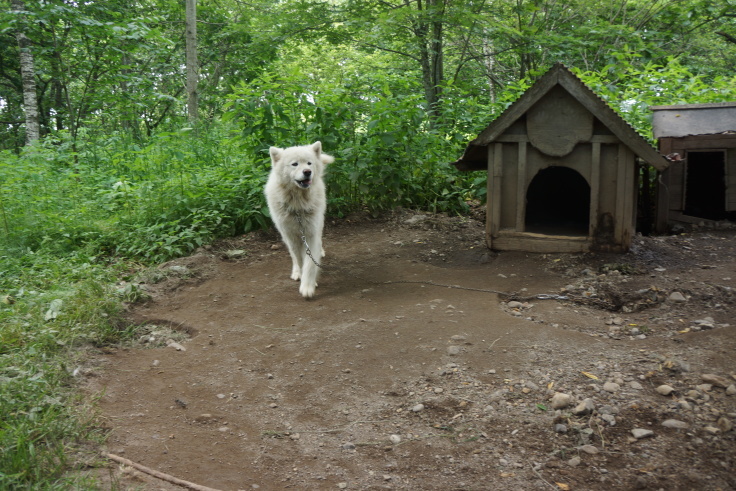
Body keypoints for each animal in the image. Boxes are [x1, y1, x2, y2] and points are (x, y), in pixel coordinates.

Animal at [264, 140, 334, 298]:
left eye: (309, 163)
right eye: (294, 164)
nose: (307, 172)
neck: (298, 205)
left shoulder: (311, 234)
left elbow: (310, 263)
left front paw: (308, 286)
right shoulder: (292, 236)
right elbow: (300, 260)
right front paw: (302, 277)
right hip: (286, 235)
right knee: (293, 256)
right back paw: (296, 272)